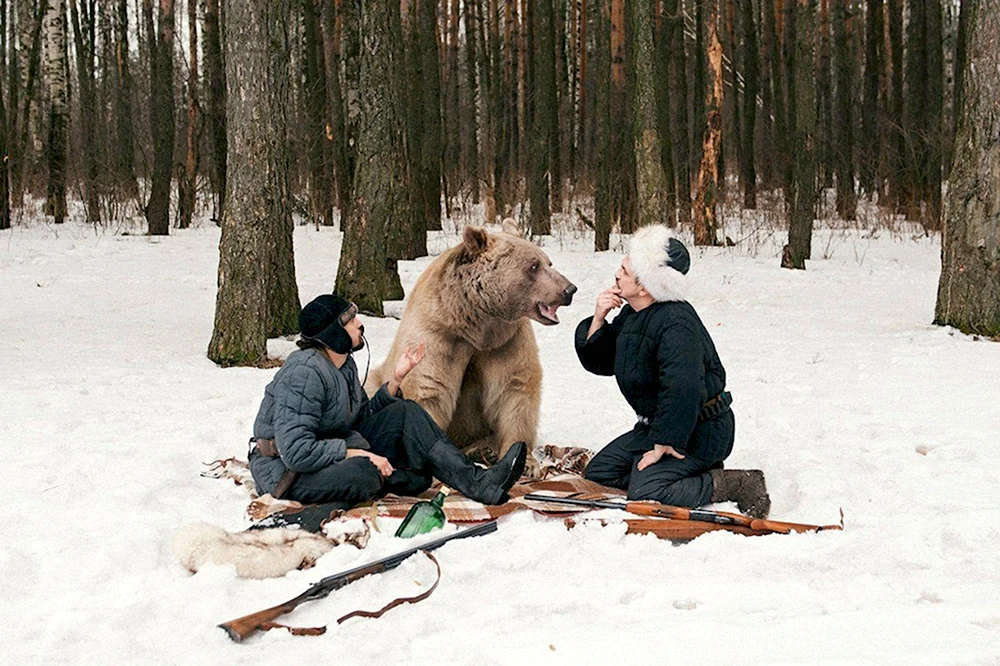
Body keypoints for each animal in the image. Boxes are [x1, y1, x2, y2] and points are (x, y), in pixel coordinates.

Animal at [366, 223, 572, 472]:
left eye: (548, 262)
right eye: (534, 266)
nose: (569, 290)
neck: (476, 325)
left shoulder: (506, 342)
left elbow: (515, 390)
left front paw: (526, 463)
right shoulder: (437, 336)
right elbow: (428, 388)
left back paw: (484, 449)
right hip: (378, 376)